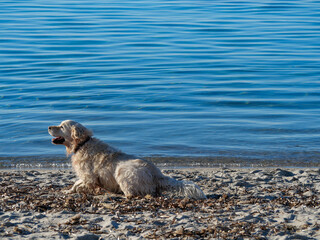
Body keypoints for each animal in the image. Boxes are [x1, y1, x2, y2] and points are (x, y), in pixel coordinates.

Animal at [48, 120, 206, 199]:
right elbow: (75, 183)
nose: (49, 127)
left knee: (131, 194)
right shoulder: (86, 177)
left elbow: (80, 184)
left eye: (61, 126)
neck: (82, 144)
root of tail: (157, 174)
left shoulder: (89, 177)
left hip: (123, 170)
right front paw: (68, 192)